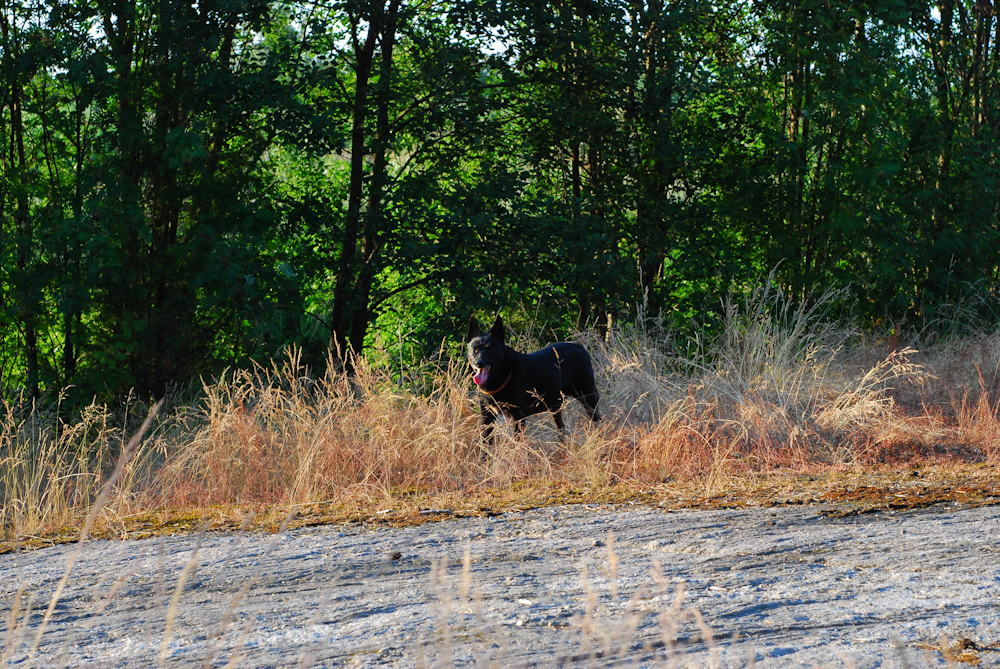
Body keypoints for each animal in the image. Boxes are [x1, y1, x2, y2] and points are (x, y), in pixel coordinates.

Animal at [467, 315, 601, 442]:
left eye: (490, 349)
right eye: (475, 350)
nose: (479, 363)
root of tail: (581, 348)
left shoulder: (518, 416)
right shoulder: (486, 416)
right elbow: (485, 443)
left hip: (588, 398)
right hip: (555, 407)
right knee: (561, 430)